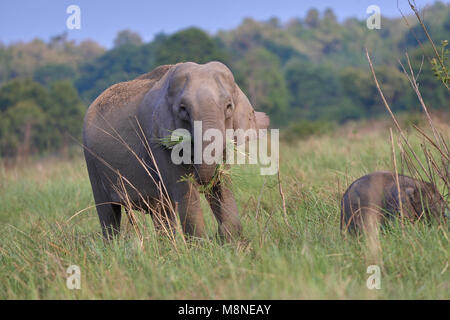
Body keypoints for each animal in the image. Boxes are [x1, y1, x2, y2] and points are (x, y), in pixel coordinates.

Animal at [82, 62, 268, 240]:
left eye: (229, 106)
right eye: (183, 109)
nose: (218, 233)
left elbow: (222, 183)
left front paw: (230, 239)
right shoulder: (156, 138)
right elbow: (185, 190)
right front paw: (201, 245)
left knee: (160, 210)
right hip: (92, 164)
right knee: (109, 214)